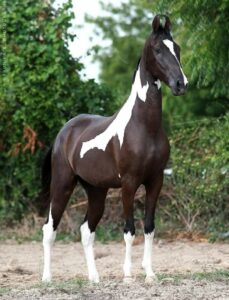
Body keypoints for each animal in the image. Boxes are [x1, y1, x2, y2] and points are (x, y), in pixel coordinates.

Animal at [40, 14, 188, 284]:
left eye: (177, 48)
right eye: (158, 49)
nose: (181, 84)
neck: (144, 127)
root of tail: (64, 132)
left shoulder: (155, 181)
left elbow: (149, 227)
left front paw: (150, 274)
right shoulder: (129, 184)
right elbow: (129, 229)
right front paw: (128, 274)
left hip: (96, 191)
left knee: (86, 230)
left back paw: (94, 278)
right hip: (63, 184)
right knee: (50, 228)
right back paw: (47, 277)